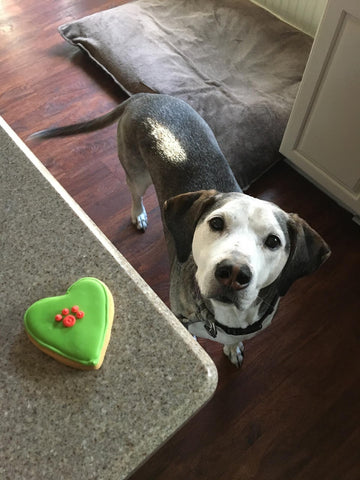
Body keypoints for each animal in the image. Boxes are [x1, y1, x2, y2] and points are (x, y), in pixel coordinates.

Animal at [29, 93, 330, 364]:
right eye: (216, 223)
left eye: (273, 241)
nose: (233, 273)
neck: (225, 319)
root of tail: (144, 96)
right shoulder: (181, 316)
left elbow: (237, 341)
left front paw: (233, 349)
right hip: (137, 172)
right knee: (134, 192)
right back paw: (138, 214)